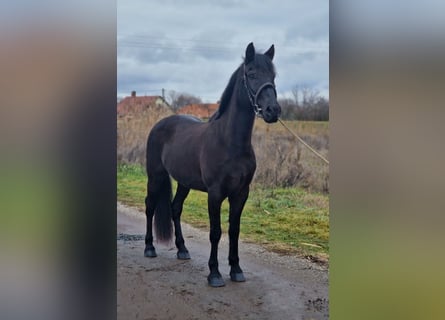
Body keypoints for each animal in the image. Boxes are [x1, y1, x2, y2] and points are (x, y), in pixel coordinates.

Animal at [144, 43, 280, 288]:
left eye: (273, 76)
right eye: (251, 74)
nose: (273, 111)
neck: (230, 142)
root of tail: (161, 123)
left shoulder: (241, 193)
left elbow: (234, 230)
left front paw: (236, 269)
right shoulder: (215, 194)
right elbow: (215, 232)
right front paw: (214, 273)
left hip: (184, 182)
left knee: (175, 208)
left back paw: (182, 249)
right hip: (155, 175)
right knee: (150, 206)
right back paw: (149, 247)